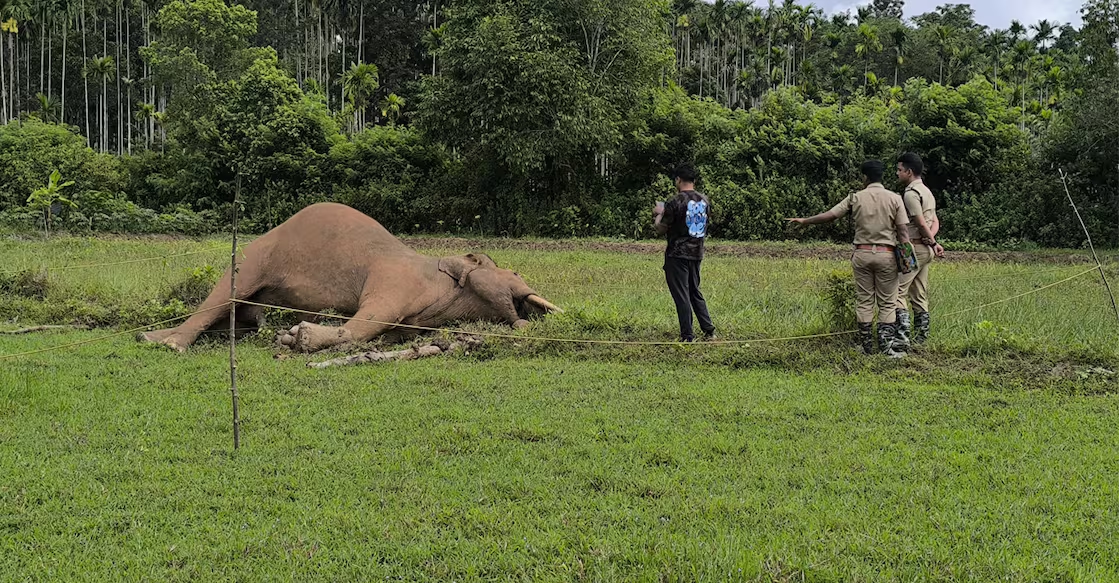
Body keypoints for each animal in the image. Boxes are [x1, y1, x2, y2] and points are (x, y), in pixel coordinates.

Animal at [139, 202, 562, 353]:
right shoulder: (395, 280)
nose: (531, 313)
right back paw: (169, 344)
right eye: (514, 270)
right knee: (223, 296)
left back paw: (151, 336)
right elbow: (366, 322)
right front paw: (295, 338)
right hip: (251, 258)